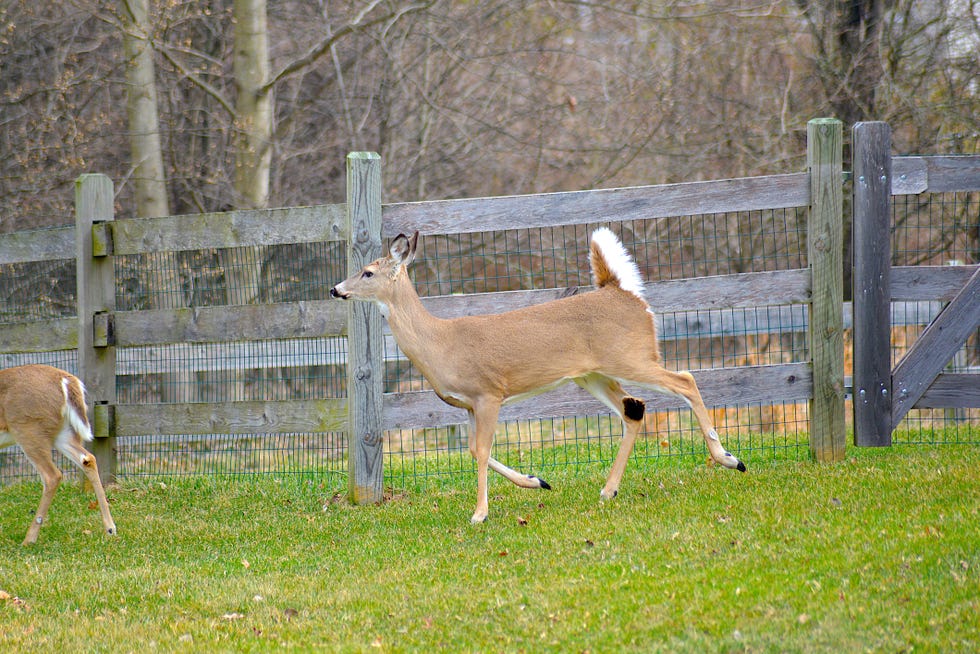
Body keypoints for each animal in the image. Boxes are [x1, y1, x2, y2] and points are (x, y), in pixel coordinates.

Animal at [0, 364, 117, 545]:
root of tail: (65, 380)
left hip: (28, 429)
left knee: (52, 475)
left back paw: (29, 540)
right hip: (63, 433)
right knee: (88, 459)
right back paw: (110, 529)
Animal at [330, 228, 745, 523]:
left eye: (367, 272)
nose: (335, 289)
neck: (440, 343)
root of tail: (629, 295)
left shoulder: (489, 393)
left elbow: (482, 451)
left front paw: (479, 514)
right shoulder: (467, 404)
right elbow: (474, 450)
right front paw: (536, 482)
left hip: (630, 357)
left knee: (685, 379)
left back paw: (730, 459)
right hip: (593, 374)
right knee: (635, 408)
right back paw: (608, 491)